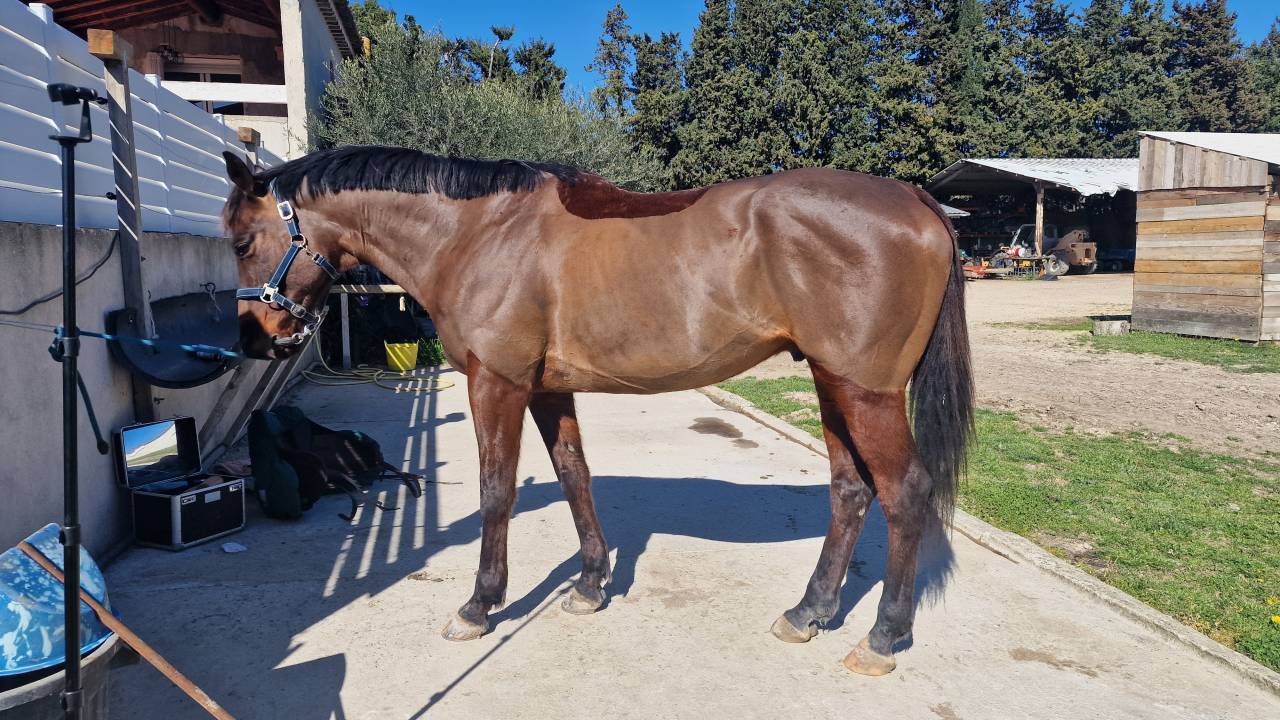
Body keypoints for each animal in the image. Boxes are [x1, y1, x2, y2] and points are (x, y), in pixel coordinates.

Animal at [220, 146, 973, 676]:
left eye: (241, 241)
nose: (255, 340)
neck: (479, 233)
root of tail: (914, 199)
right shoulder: (548, 390)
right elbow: (574, 475)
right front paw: (589, 584)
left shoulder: (497, 384)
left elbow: (497, 492)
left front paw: (479, 605)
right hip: (829, 381)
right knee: (850, 491)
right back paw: (809, 611)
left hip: (864, 390)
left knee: (905, 492)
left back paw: (882, 636)